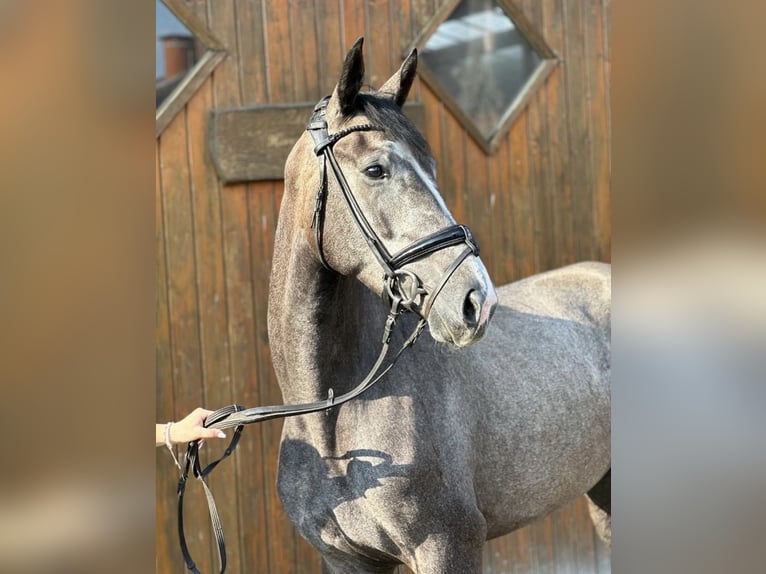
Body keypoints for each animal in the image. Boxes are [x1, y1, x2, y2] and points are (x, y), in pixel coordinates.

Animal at [270, 38, 612, 572]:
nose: (477, 301)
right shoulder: (346, 560)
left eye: (431, 169)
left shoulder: (448, 545)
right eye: (375, 170)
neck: (335, 417)